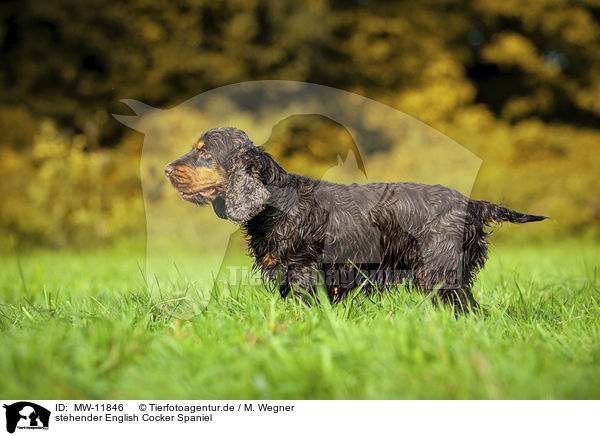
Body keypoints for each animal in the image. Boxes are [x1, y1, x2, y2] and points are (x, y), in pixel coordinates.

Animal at [165, 126, 548, 310]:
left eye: (205, 153)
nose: (166, 169)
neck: (276, 203)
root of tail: (473, 204)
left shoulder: (303, 270)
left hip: (441, 272)